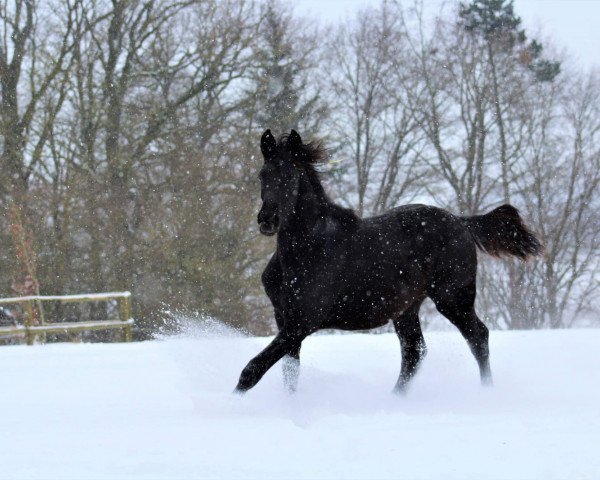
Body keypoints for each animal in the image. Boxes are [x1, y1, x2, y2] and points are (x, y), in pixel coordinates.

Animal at [236, 128, 544, 394]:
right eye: (263, 175)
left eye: (291, 175)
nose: (267, 220)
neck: (308, 249)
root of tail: (462, 222)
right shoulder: (284, 318)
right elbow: (290, 374)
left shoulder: (303, 321)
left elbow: (252, 369)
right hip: (407, 308)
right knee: (415, 351)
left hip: (453, 298)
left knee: (478, 337)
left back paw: (486, 392)